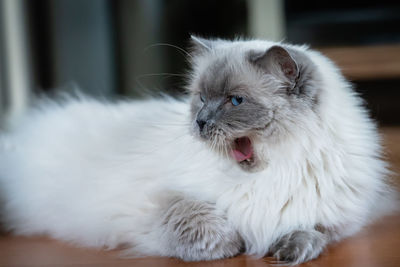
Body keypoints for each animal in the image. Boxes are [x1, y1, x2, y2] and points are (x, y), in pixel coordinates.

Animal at [0, 37, 396, 266]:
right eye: (202, 98)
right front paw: (237, 245)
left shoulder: (331, 219)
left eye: (235, 101)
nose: (200, 122)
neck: (270, 173)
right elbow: (206, 226)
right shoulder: (161, 201)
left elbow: (310, 231)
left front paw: (287, 252)